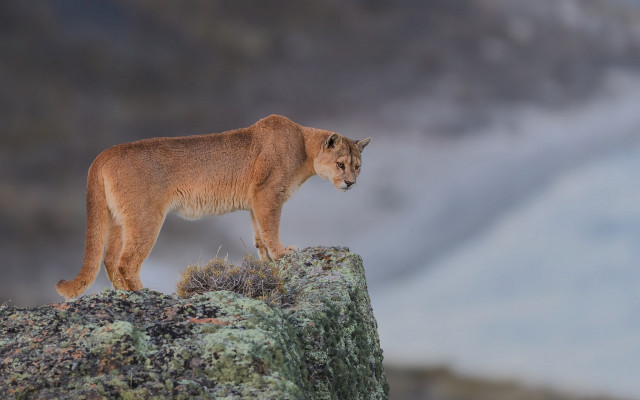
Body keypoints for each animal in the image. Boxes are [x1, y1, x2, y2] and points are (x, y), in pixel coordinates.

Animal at [56, 115, 371, 299]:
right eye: (340, 164)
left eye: (357, 166)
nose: (351, 183)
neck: (304, 148)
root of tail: (104, 154)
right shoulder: (268, 194)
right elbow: (271, 228)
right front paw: (283, 253)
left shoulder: (256, 202)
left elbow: (259, 234)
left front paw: (266, 261)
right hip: (145, 217)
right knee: (125, 261)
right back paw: (143, 294)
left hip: (118, 219)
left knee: (109, 258)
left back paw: (121, 294)